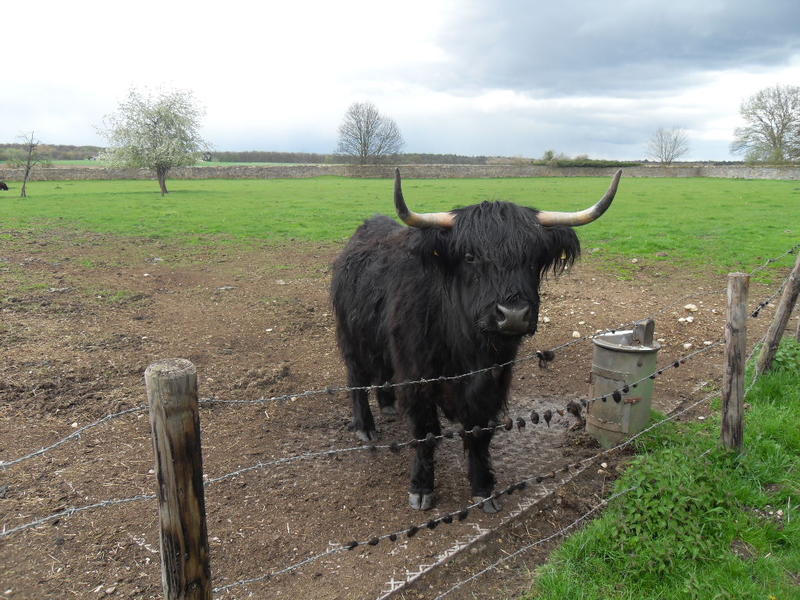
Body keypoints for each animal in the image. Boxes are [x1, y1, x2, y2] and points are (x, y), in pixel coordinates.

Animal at [330, 168, 620, 510]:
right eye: (470, 256)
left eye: (533, 258)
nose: (513, 314)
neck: (468, 347)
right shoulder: (417, 374)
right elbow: (425, 431)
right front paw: (421, 488)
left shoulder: (494, 378)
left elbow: (480, 430)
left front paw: (484, 488)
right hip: (352, 337)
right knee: (356, 378)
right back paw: (365, 427)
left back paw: (388, 405)